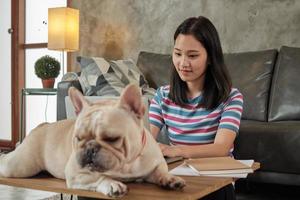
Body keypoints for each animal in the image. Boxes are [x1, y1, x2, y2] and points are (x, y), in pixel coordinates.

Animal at [0, 84, 185, 197]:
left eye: (112, 139)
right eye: (78, 138)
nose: (89, 148)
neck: (126, 165)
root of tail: (42, 126)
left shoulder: (155, 164)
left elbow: (161, 172)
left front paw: (170, 179)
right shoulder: (76, 174)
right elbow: (99, 178)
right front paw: (112, 184)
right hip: (19, 166)